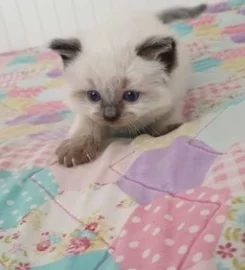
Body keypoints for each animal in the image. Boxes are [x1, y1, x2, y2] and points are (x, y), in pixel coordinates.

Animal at [49, 3, 207, 167]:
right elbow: (85, 125)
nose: (110, 116)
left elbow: (165, 121)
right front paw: (75, 149)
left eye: (130, 96)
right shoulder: (86, 112)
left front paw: (167, 131)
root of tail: (151, 15)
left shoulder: (174, 97)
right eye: (93, 95)